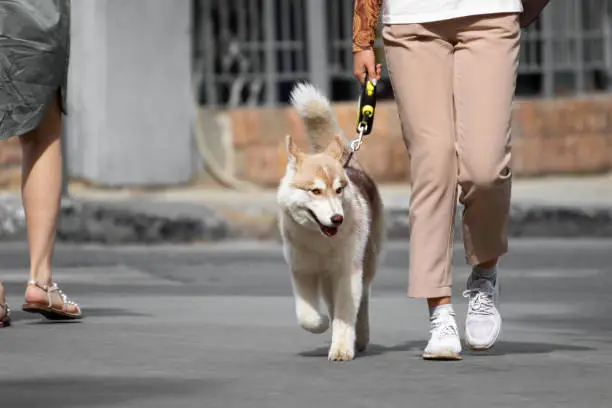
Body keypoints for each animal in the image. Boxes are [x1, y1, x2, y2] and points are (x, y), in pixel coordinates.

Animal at [276, 82, 382, 360]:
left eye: (338, 190)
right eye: (315, 191)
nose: (337, 218)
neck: (320, 242)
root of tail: (350, 164)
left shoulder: (347, 272)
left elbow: (346, 314)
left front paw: (342, 348)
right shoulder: (302, 271)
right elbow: (307, 317)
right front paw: (322, 322)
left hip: (366, 262)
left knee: (363, 299)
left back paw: (361, 336)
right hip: (325, 278)